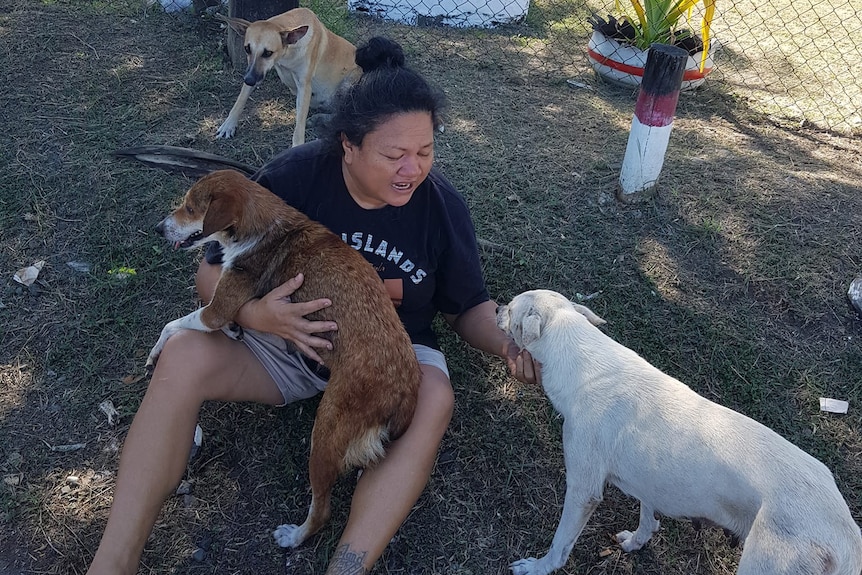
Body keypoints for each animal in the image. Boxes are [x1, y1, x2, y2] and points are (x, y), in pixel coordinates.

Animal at [148, 169, 422, 548]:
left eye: (190, 207)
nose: (159, 228)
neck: (263, 227)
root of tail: (406, 383)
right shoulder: (222, 308)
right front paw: (234, 329)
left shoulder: (214, 312)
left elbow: (171, 325)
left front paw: (155, 352)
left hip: (325, 434)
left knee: (321, 511)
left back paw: (294, 536)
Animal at [219, 7, 364, 147]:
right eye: (247, 49)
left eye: (268, 53)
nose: (248, 80)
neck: (288, 54)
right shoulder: (255, 72)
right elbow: (241, 99)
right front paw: (229, 124)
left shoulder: (304, 87)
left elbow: (299, 125)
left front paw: (297, 146)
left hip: (350, 82)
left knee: (345, 115)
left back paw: (319, 119)